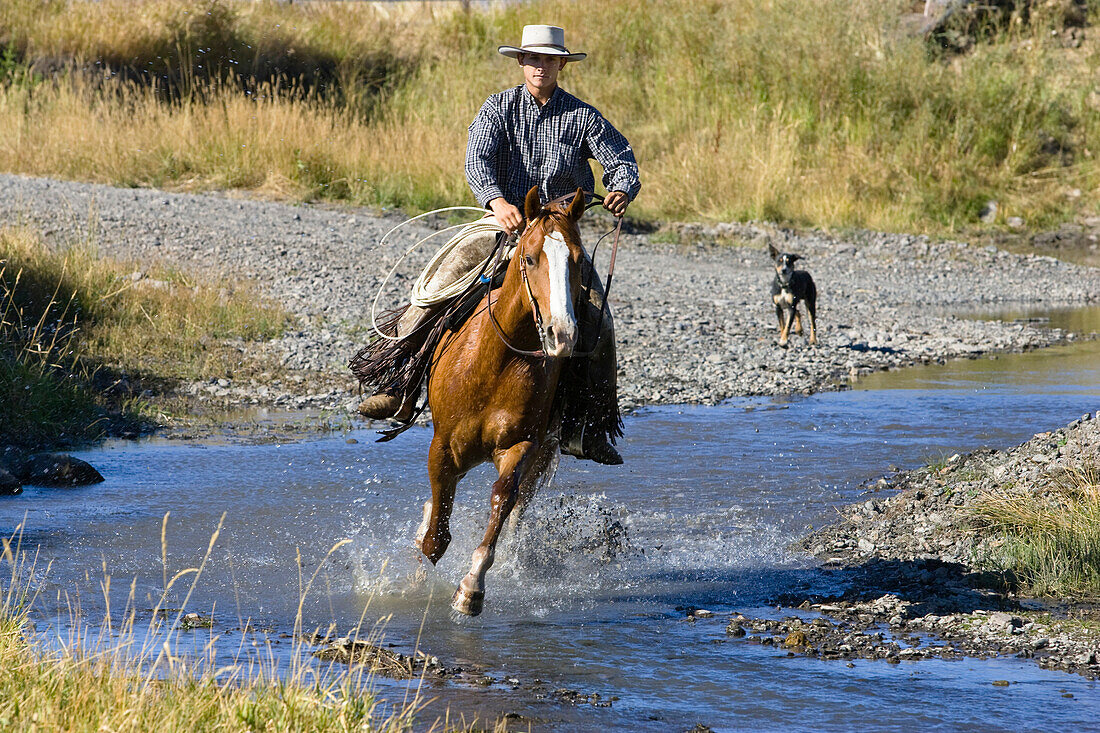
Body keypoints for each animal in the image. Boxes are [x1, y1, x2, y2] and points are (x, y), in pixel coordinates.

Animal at [413, 183, 589, 616]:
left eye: (578, 260)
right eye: (530, 257)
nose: (562, 335)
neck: (497, 362)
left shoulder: (520, 446)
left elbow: (501, 500)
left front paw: (471, 589)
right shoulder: (442, 447)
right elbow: (436, 538)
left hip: (541, 456)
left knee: (516, 513)